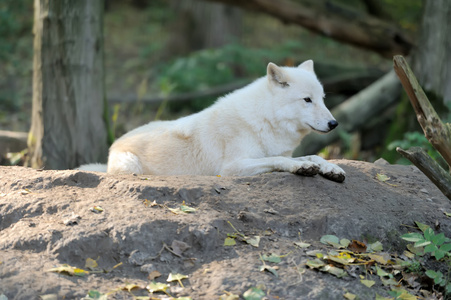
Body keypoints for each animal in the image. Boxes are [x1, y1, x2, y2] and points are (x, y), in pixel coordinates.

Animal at [80, 60, 346, 182]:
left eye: (322, 99)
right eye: (307, 100)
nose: (334, 124)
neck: (264, 119)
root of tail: (113, 146)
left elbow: (312, 155)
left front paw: (330, 168)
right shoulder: (231, 168)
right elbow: (280, 160)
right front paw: (301, 168)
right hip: (131, 166)